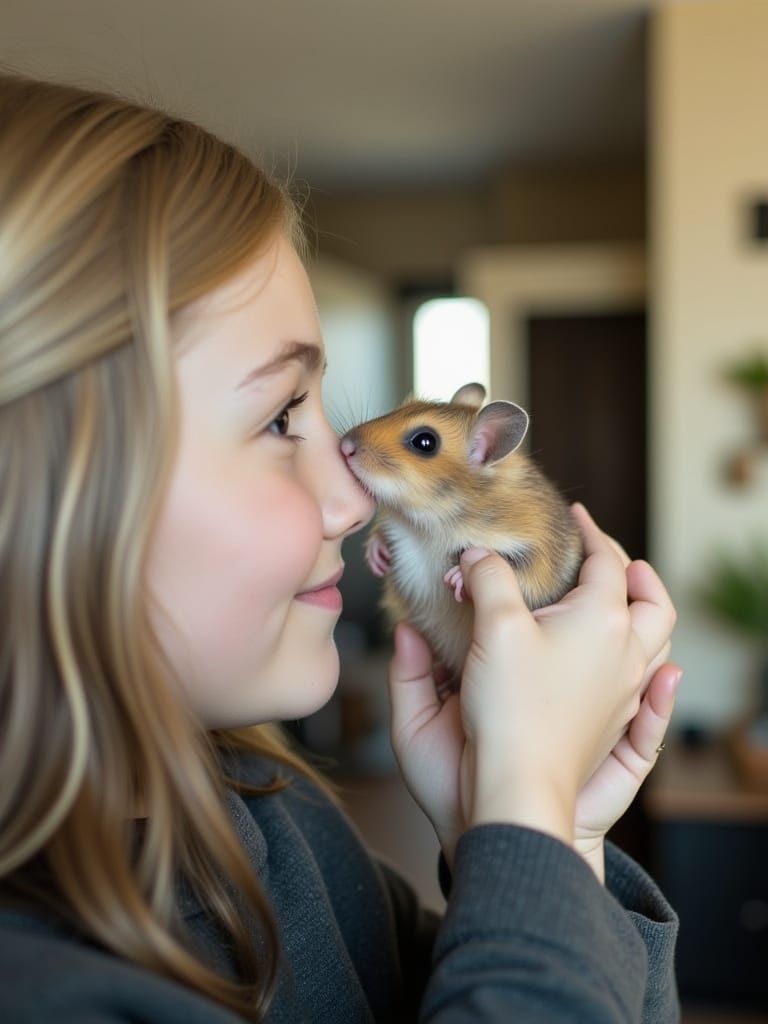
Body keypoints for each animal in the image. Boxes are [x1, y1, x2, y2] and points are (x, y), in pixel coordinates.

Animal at [340, 382, 583, 685]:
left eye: (425, 442)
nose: (344, 446)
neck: (430, 520)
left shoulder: (541, 554)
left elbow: (519, 568)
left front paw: (457, 577)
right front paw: (377, 556)